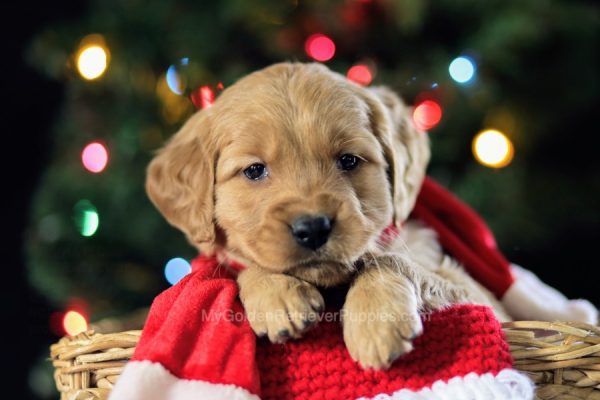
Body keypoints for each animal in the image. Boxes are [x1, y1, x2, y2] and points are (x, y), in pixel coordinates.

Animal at [145, 61, 506, 368]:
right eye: (254, 170)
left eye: (349, 160)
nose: (313, 228)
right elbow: (243, 268)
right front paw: (277, 294)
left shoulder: (480, 297)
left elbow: (386, 259)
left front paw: (376, 322)